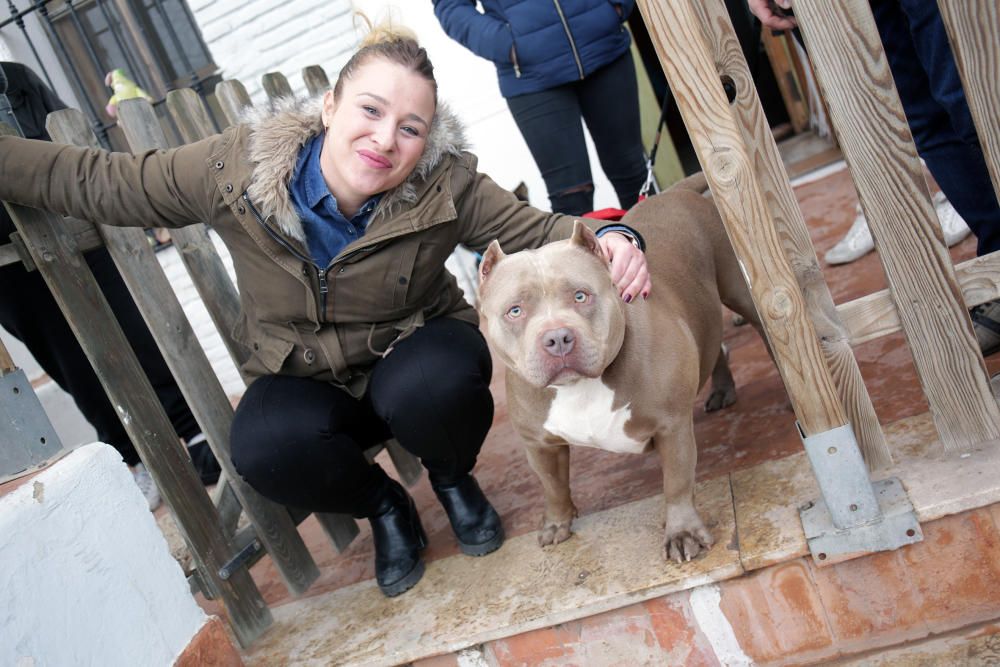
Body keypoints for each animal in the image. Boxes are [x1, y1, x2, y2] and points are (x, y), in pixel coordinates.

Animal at [480, 175, 760, 560]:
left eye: (580, 295)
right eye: (515, 311)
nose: (557, 338)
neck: (581, 388)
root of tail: (674, 191)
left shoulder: (671, 426)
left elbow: (676, 481)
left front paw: (682, 533)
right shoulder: (539, 443)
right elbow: (552, 484)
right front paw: (556, 523)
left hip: (741, 291)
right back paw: (721, 389)